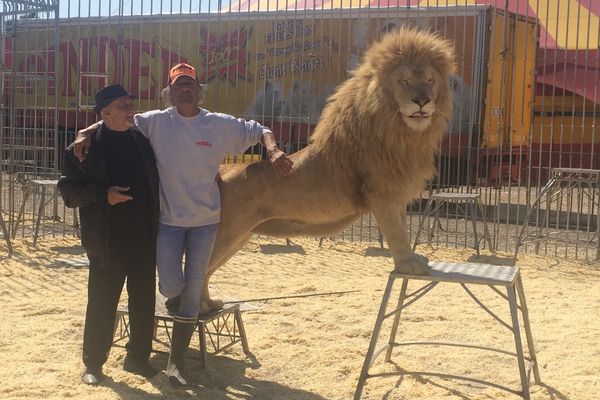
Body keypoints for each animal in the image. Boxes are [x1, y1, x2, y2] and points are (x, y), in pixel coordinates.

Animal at [203, 28, 454, 308]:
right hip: (225, 234)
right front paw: (408, 264)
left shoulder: (395, 194)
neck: (400, 131)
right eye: (404, 81)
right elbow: (396, 232)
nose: (423, 100)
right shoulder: (382, 195)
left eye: (430, 80)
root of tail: (221, 173)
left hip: (239, 236)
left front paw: (413, 258)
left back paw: (208, 305)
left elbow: (402, 227)